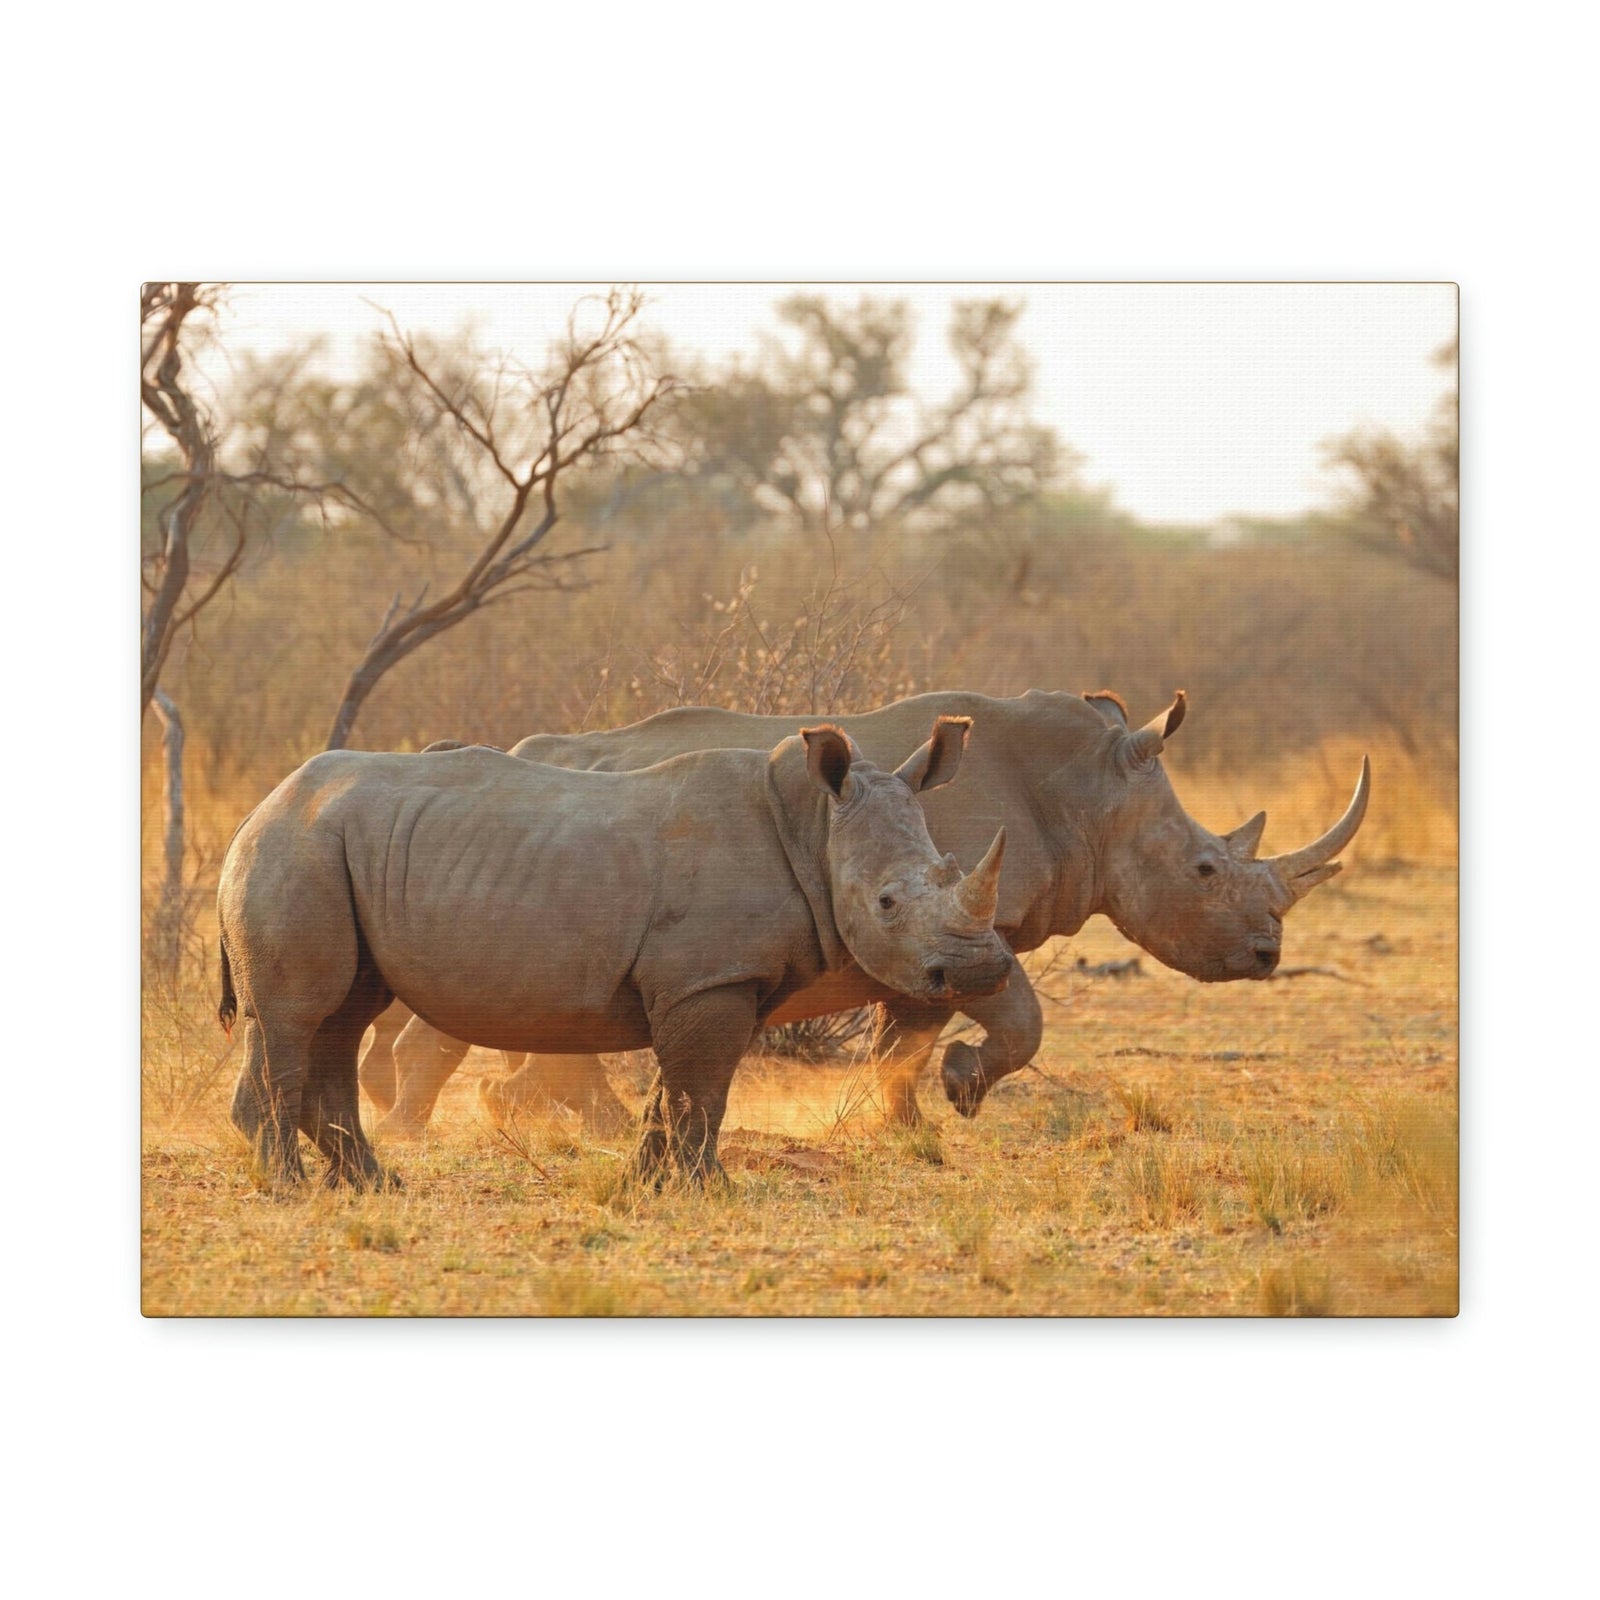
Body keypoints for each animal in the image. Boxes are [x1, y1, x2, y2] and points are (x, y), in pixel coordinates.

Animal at [216, 718, 1011, 1188]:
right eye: (886, 904)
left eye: (948, 869)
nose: (982, 969)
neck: (814, 826)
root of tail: (260, 806)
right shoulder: (707, 979)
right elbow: (702, 1088)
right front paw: (709, 1191)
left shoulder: (720, 980)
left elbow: (681, 1089)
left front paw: (649, 1185)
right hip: (297, 849)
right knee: (296, 1016)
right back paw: (290, 1186)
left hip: (329, 849)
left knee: (343, 1015)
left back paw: (372, 1184)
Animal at [360, 689, 1369, 1135]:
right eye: (1206, 869)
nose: (1268, 953)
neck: (1088, 791)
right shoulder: (970, 926)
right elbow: (1012, 1019)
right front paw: (956, 1094)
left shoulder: (937, 932)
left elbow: (904, 1036)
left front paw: (898, 1120)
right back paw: (424, 1129)